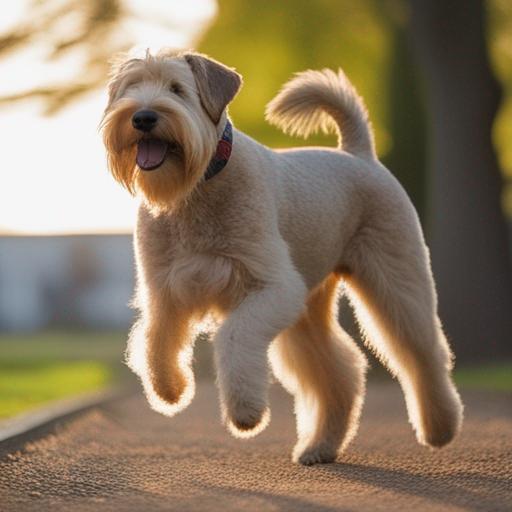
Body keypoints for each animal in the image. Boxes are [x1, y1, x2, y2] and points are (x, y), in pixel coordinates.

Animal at [101, 51, 464, 464]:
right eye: (130, 88)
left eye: (177, 89)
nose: (142, 117)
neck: (196, 191)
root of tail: (360, 155)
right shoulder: (164, 290)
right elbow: (155, 340)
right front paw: (170, 388)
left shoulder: (270, 287)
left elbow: (233, 337)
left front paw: (245, 413)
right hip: (307, 314)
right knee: (341, 370)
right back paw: (319, 446)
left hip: (397, 283)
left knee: (424, 354)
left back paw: (439, 429)